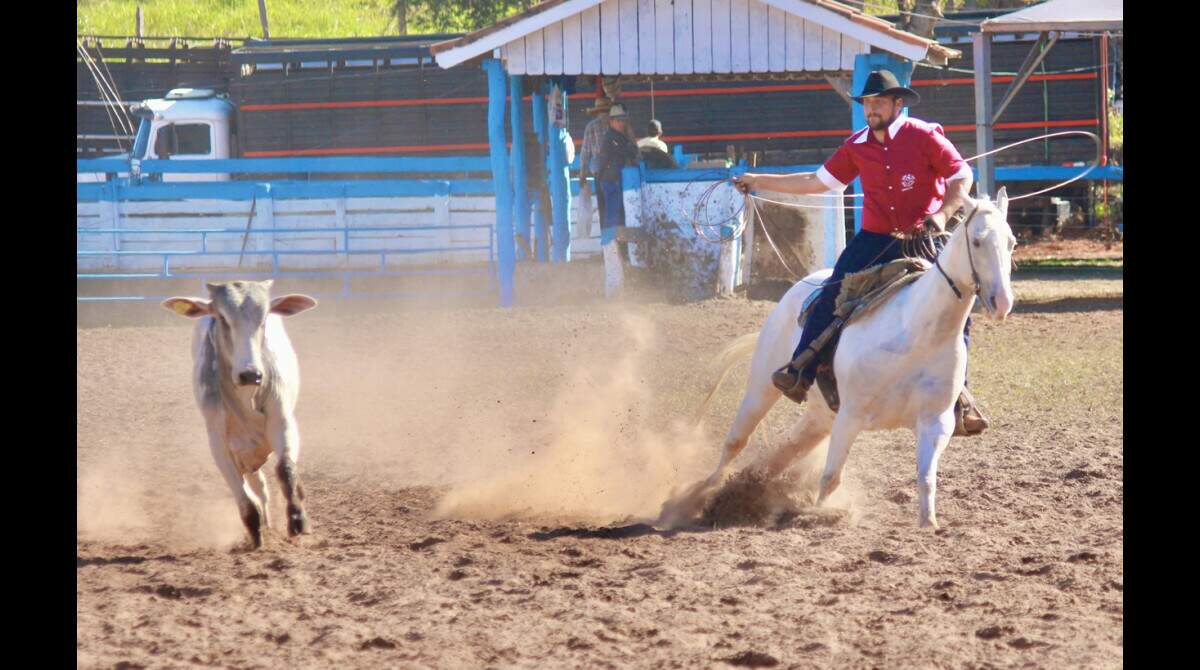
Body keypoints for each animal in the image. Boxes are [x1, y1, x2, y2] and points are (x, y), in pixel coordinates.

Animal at [166, 280, 324, 549]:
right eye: (222, 317)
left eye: (264, 317)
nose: (250, 374)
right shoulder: (219, 442)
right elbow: (243, 496)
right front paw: (255, 535)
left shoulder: (282, 420)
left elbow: (286, 469)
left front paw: (298, 521)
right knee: (257, 488)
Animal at [662, 189, 1017, 530]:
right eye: (977, 240)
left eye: (1011, 242)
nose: (1002, 302)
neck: (917, 331)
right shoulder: (851, 414)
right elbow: (831, 477)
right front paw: (817, 516)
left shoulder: (936, 421)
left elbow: (926, 479)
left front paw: (928, 523)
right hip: (763, 386)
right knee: (736, 441)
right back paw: (701, 494)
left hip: (820, 416)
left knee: (787, 448)